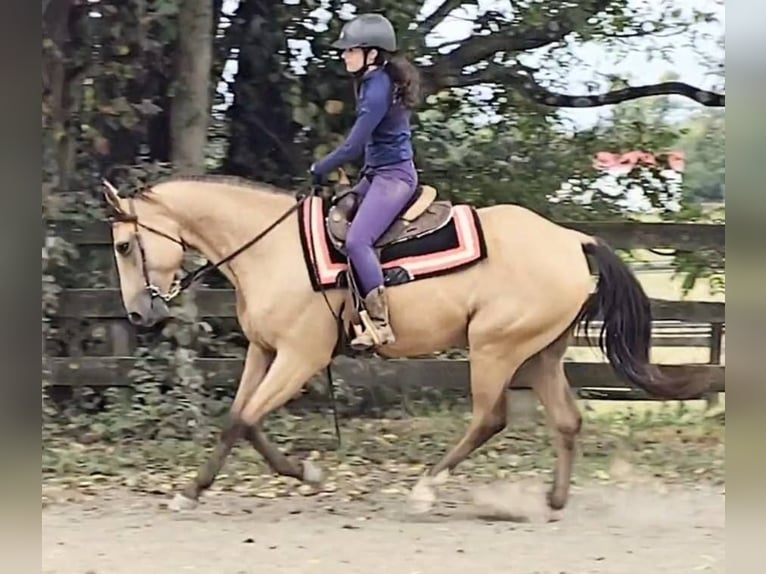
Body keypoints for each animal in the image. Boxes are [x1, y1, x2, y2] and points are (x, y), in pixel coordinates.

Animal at [101, 174, 703, 516]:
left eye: (126, 246)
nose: (138, 313)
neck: (272, 249)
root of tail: (572, 239)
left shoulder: (299, 357)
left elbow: (246, 419)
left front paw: (304, 475)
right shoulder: (263, 352)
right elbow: (238, 422)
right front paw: (194, 490)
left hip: (496, 348)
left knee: (490, 418)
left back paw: (426, 490)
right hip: (541, 354)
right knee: (567, 421)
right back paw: (553, 500)